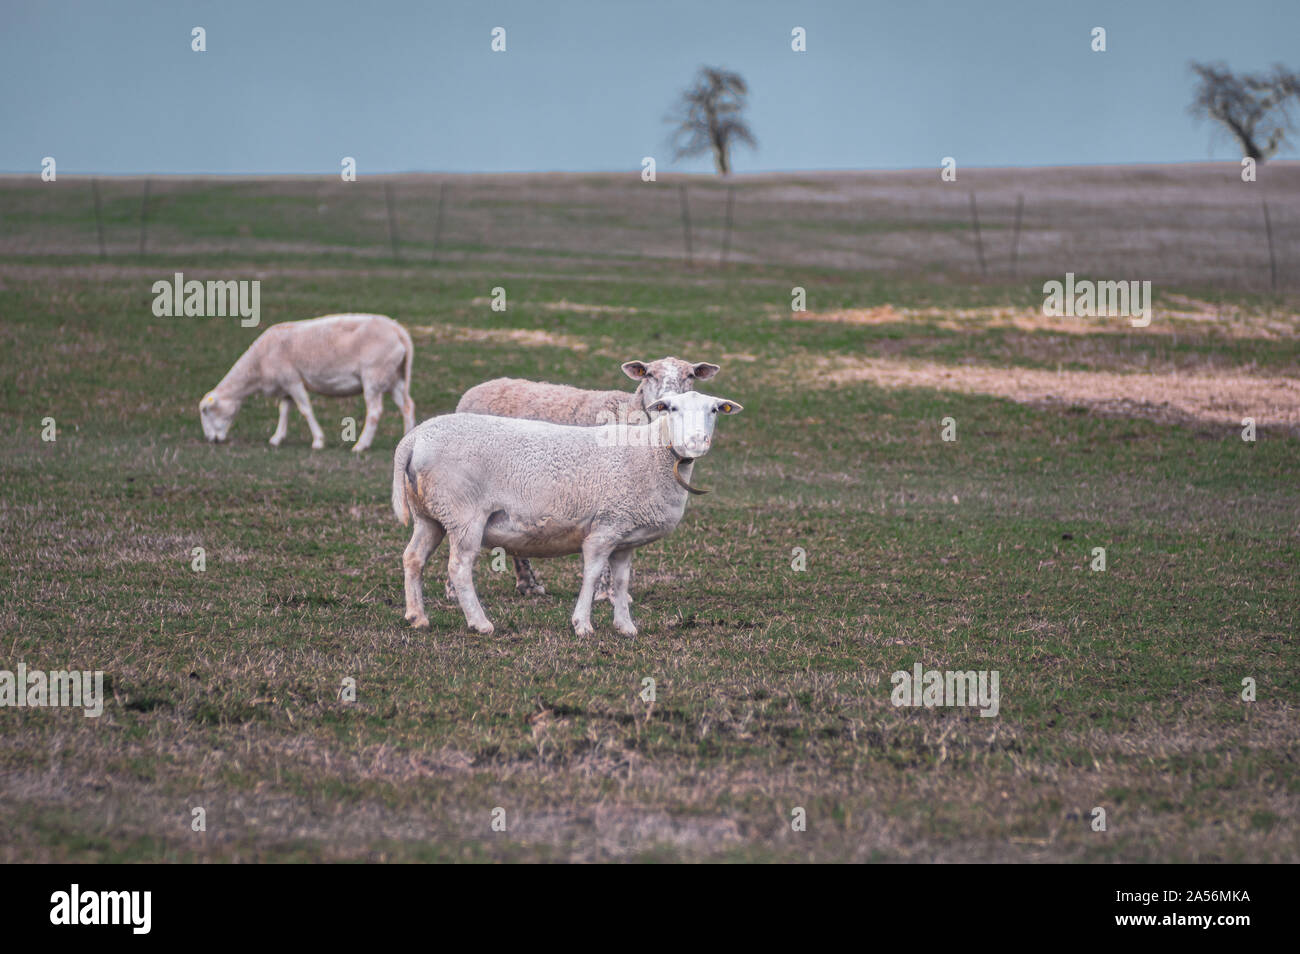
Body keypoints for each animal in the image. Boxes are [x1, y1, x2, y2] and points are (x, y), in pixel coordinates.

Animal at [198, 310, 416, 452]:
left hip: (374, 376)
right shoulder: (285, 386)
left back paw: (360, 445)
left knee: (375, 412)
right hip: (393, 378)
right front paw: (277, 438)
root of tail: (398, 330)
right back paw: (407, 438)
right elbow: (284, 410)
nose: (211, 440)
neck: (257, 365)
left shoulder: (292, 379)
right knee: (407, 406)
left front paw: (318, 441)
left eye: (206, 411)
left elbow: (305, 409)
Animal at [387, 389, 743, 642]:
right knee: (459, 568)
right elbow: (593, 575)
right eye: (671, 408)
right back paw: (480, 623)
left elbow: (621, 581)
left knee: (412, 558)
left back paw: (417, 617)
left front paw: (625, 626)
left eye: (714, 410)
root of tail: (414, 438)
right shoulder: (605, 528)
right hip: (463, 513)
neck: (652, 451)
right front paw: (582, 625)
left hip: (430, 515)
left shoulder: (625, 536)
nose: (696, 441)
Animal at [457, 358, 722, 597]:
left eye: (690, 375)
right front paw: (605, 592)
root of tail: (479, 388)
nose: (667, 401)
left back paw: (528, 585)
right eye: (648, 374)